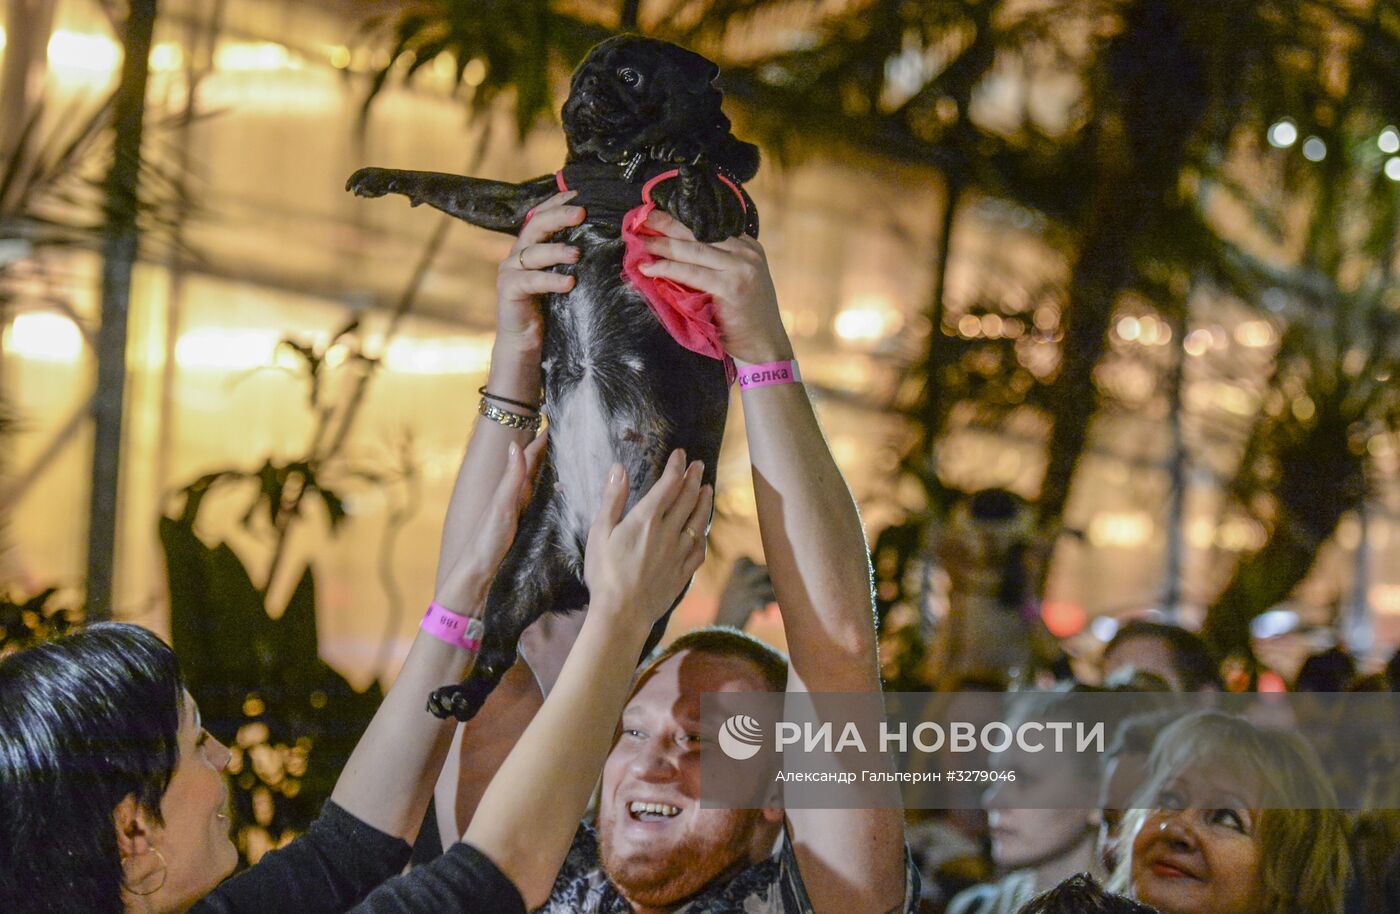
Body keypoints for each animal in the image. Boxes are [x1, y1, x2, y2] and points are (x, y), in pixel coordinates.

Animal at [345, 35, 761, 722]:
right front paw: (385, 177)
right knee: (497, 650)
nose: (585, 89)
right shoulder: (530, 201)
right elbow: (455, 186)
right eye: (579, 74)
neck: (619, 167)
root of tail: (586, 564)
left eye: (630, 76)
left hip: (651, 597)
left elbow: (702, 180)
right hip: (518, 570)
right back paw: (460, 694)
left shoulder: (711, 228)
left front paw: (688, 150)